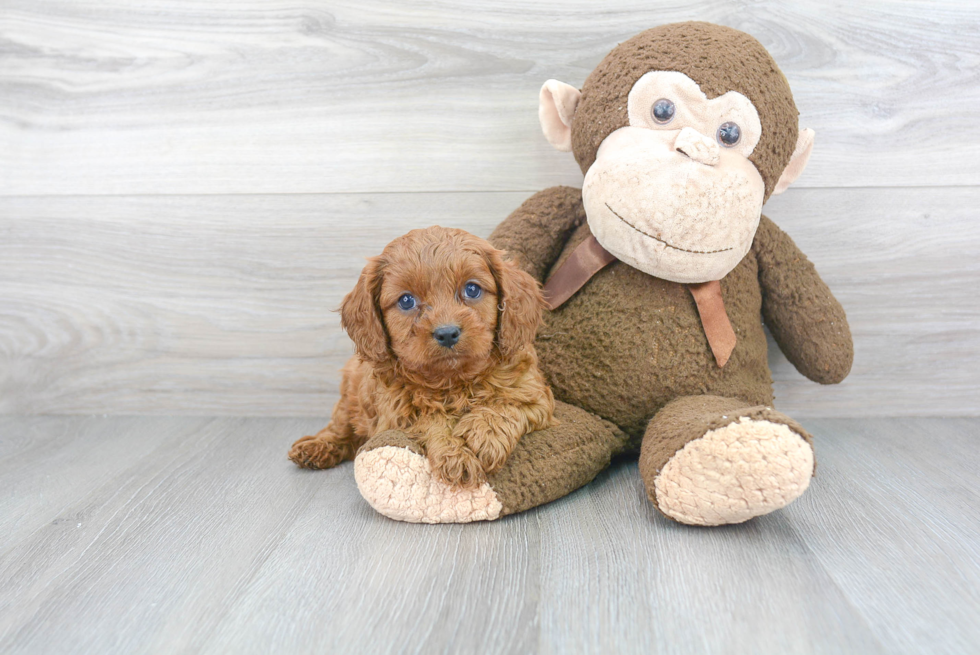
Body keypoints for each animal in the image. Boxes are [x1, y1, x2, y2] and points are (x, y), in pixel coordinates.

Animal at [288, 226, 556, 486]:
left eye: (472, 289)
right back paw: (316, 447)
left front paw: (485, 435)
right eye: (406, 300)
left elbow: (509, 405)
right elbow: (430, 421)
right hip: (349, 398)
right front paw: (454, 454)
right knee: (340, 429)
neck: (454, 382)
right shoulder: (396, 416)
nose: (447, 333)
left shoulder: (535, 396)